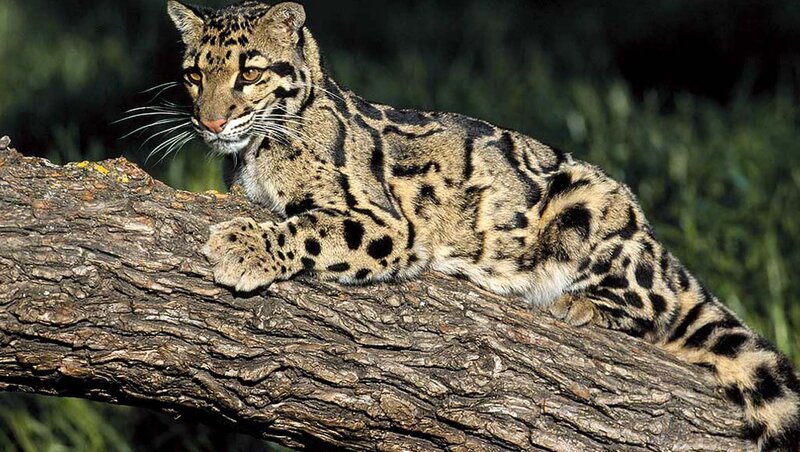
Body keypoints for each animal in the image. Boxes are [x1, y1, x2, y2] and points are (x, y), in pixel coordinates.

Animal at [166, 1, 800, 449]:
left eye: (249, 71)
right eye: (194, 74)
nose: (209, 121)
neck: (254, 154)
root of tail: (656, 243)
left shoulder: (384, 223)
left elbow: (309, 228)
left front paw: (242, 246)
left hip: (594, 205)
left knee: (656, 302)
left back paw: (581, 303)